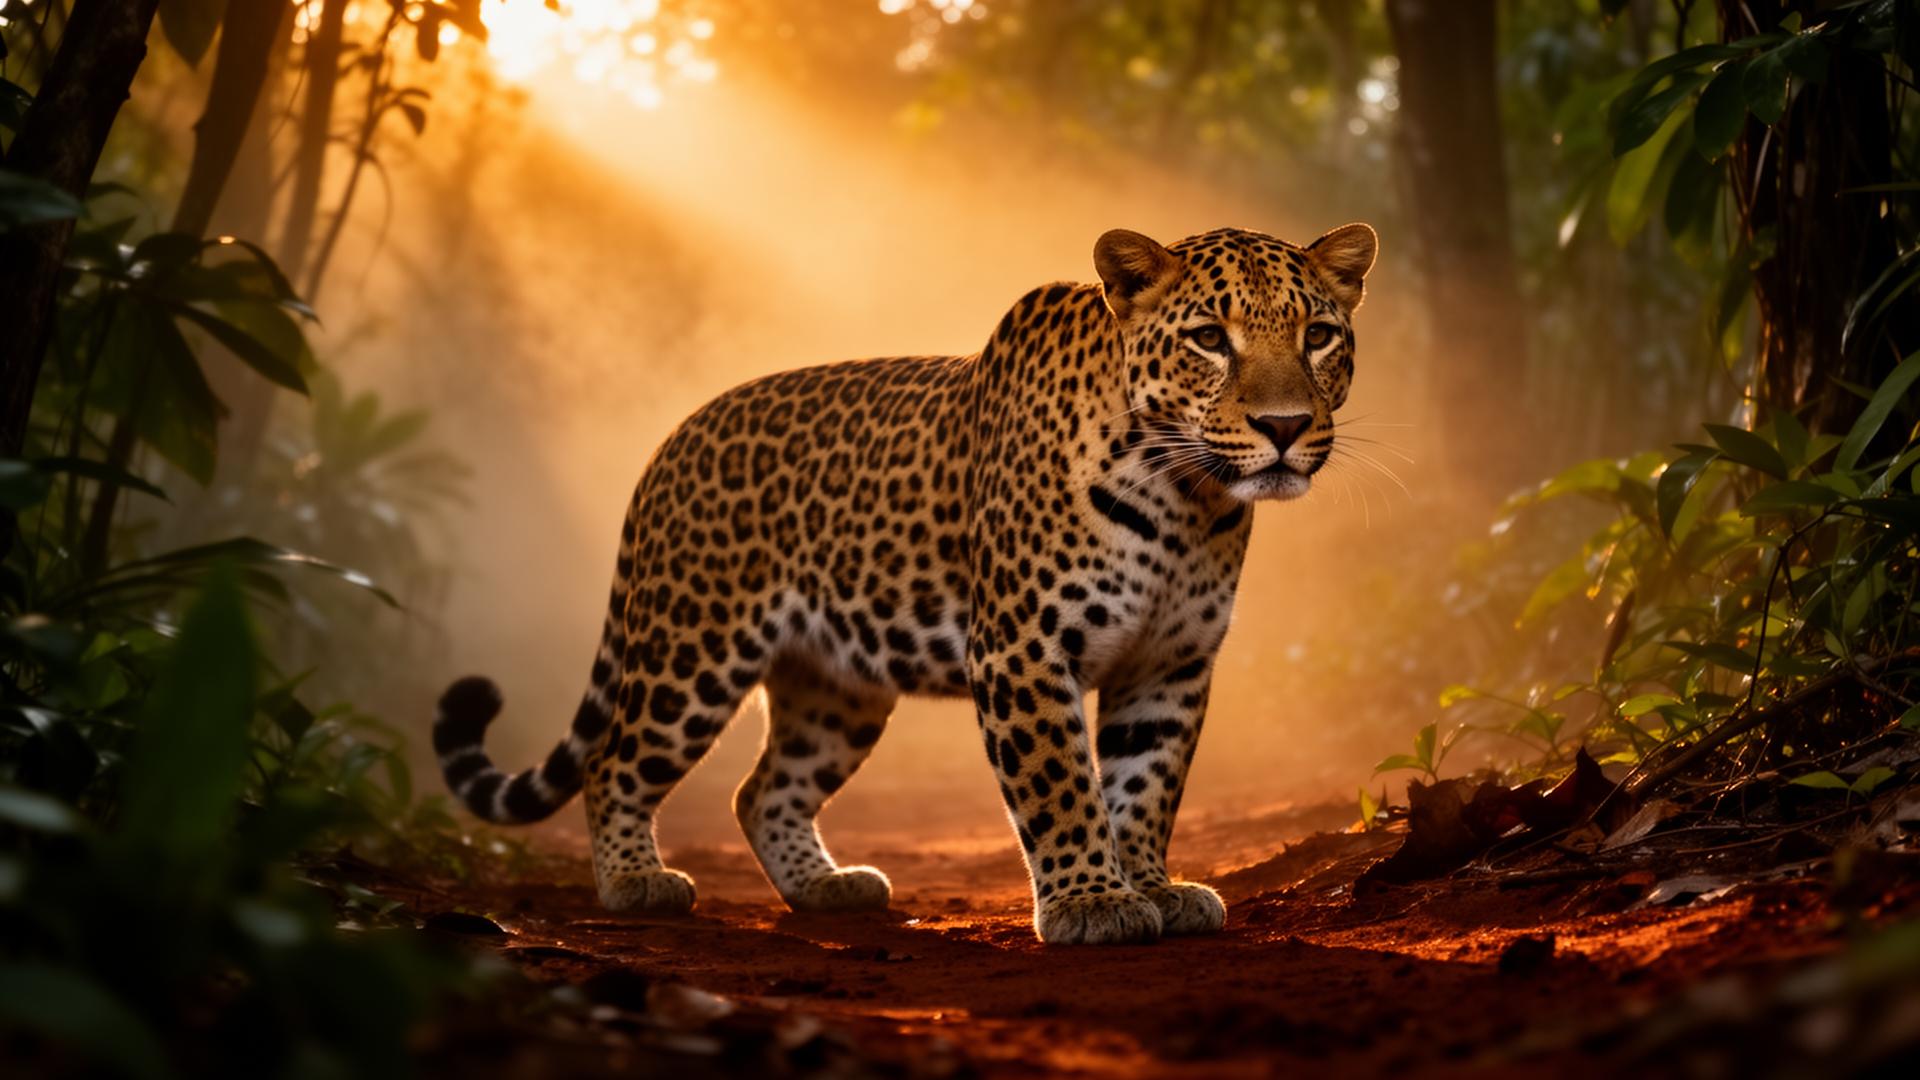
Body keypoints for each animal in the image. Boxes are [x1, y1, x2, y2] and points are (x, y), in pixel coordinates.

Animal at [434, 222, 1378, 945]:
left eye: (1319, 336)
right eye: (1209, 339)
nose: (1285, 427)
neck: (1186, 497)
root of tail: (672, 442)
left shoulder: (1169, 667)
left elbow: (1146, 785)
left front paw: (1151, 886)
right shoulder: (1023, 651)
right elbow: (1063, 785)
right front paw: (1091, 902)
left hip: (837, 687)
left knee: (761, 789)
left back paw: (826, 888)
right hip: (693, 649)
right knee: (614, 762)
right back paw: (637, 882)